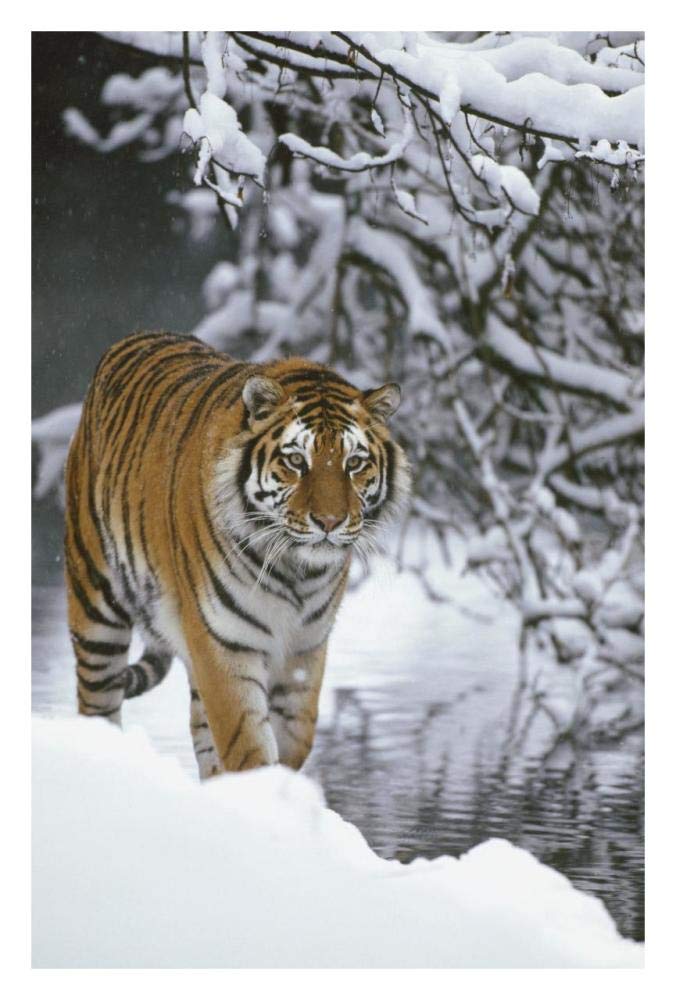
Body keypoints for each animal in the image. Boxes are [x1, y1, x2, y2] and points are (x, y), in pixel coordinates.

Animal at [64, 330, 410, 778]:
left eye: (354, 463)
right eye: (296, 460)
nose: (329, 521)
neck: (297, 571)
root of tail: (135, 337)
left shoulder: (305, 648)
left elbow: (294, 738)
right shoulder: (224, 642)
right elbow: (247, 745)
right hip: (95, 606)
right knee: (98, 704)